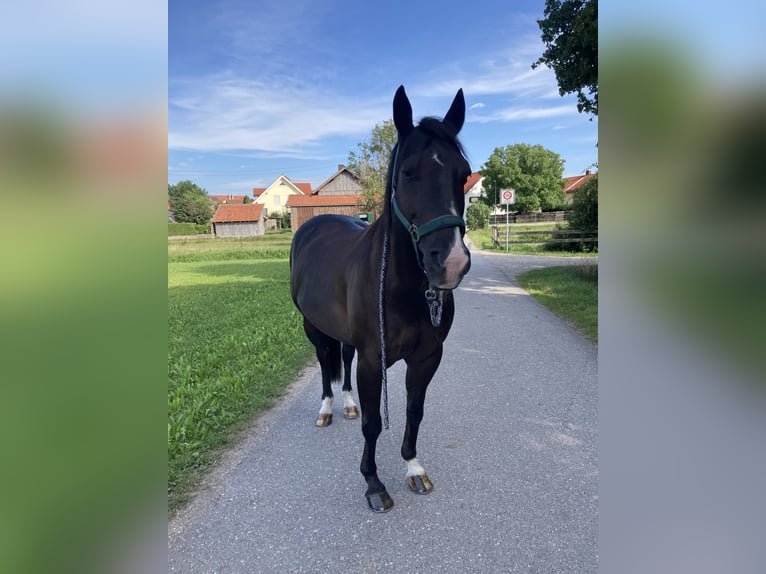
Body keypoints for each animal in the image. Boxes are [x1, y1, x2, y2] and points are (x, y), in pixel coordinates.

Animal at [290, 85, 471, 512]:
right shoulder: (375, 359)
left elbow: (414, 411)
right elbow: (373, 423)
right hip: (312, 325)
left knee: (342, 358)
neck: (403, 287)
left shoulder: (427, 357)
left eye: (464, 174)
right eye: (408, 173)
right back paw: (327, 409)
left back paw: (347, 403)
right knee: (325, 361)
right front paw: (373, 483)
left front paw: (413, 467)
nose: (451, 262)